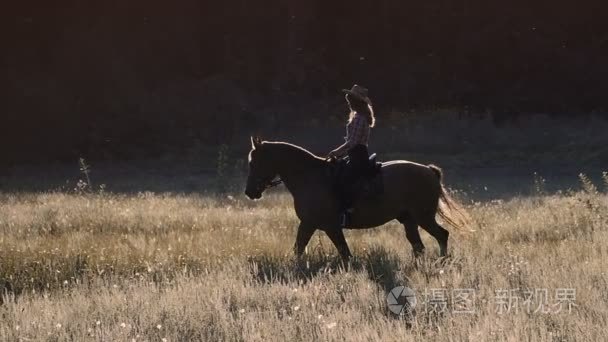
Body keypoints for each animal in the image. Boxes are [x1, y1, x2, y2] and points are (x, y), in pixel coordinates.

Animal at [245, 136, 472, 260]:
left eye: (253, 162)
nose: (249, 192)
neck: (310, 176)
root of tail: (429, 171)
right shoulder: (314, 225)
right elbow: (301, 248)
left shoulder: (322, 225)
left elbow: (338, 252)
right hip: (409, 220)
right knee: (418, 246)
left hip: (423, 217)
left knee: (442, 235)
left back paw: (442, 262)